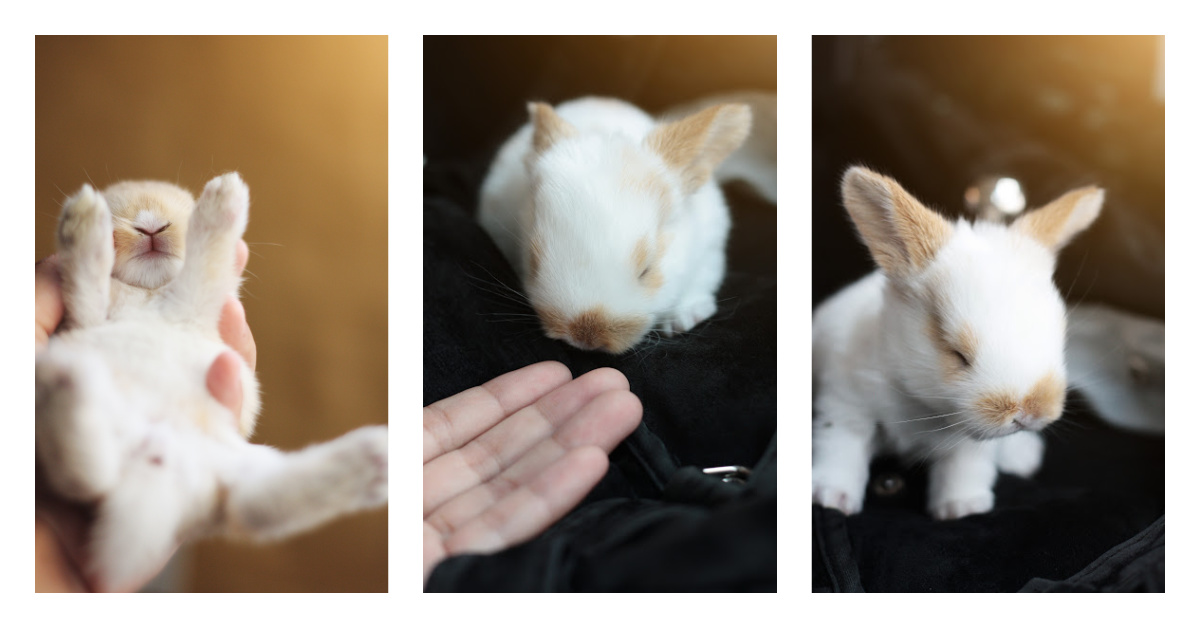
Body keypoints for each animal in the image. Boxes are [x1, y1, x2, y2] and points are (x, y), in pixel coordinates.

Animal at [36, 173, 387, 591]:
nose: (151, 225)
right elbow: (87, 284)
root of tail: (158, 455)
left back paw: (370, 461)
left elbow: (208, 259)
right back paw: (67, 379)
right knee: (86, 478)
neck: (148, 292)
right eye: (114, 206)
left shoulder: (195, 300)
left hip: (236, 469)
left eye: (183, 206)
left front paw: (224, 196)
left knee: (253, 507)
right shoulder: (88, 317)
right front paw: (84, 222)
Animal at [478, 96, 752, 353]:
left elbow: (698, 284)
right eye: (533, 260)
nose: (584, 338)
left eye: (646, 270)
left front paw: (683, 320)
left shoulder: (710, 251)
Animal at [812, 166, 1103, 520]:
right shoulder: (845, 404)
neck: (922, 406)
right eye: (958, 354)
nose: (1030, 414)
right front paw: (830, 498)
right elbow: (840, 446)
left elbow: (963, 468)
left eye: (1059, 338)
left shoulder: (968, 445)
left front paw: (961, 508)